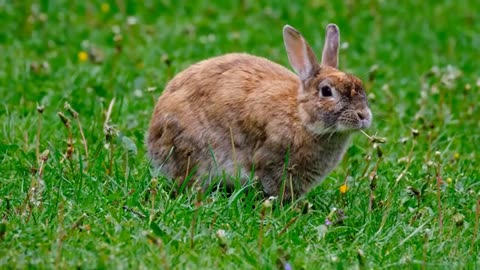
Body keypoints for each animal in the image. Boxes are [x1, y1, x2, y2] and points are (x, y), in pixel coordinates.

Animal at [148, 23, 374, 200]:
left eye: (360, 87)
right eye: (327, 91)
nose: (363, 116)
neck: (301, 118)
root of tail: (152, 141)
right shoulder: (271, 162)